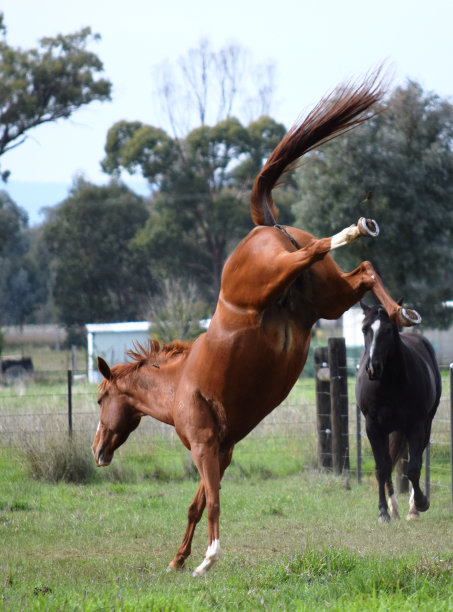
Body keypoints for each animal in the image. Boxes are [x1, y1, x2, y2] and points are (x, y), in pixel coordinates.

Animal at [92, 74, 420, 576]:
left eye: (99, 399)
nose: (97, 452)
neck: (178, 383)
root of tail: (265, 225)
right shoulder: (223, 450)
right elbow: (196, 504)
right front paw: (178, 559)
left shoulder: (206, 447)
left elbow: (212, 503)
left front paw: (207, 560)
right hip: (327, 300)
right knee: (363, 270)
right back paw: (401, 310)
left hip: (273, 280)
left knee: (320, 249)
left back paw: (357, 228)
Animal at [354, 302, 440, 520]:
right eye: (365, 329)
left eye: (388, 330)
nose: (373, 368)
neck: (389, 384)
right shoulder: (373, 428)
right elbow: (382, 468)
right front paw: (384, 511)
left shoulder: (416, 426)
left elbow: (414, 468)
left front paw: (420, 503)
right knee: (388, 462)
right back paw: (393, 509)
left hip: (424, 425)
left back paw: (412, 508)